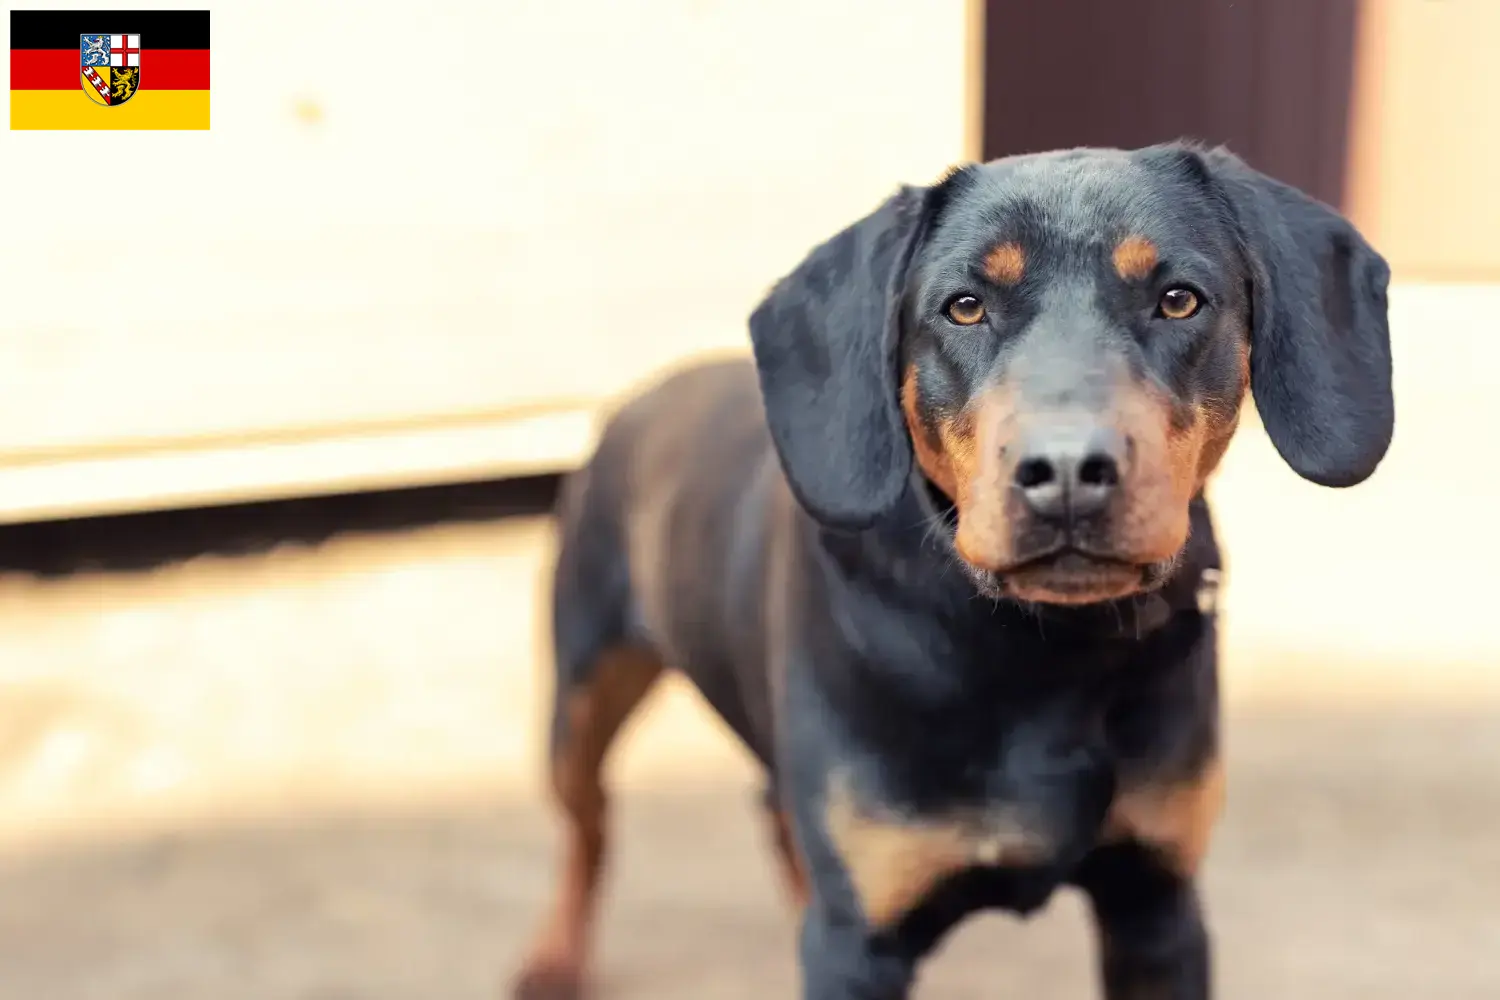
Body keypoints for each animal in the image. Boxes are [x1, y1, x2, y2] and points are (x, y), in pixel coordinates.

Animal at [516, 142, 1392, 1000]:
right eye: (964, 307)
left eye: (1179, 299)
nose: (1067, 472)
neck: (1043, 652)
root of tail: (634, 401)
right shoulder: (860, 943)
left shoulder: (1156, 904)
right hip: (581, 695)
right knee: (590, 824)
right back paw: (552, 959)